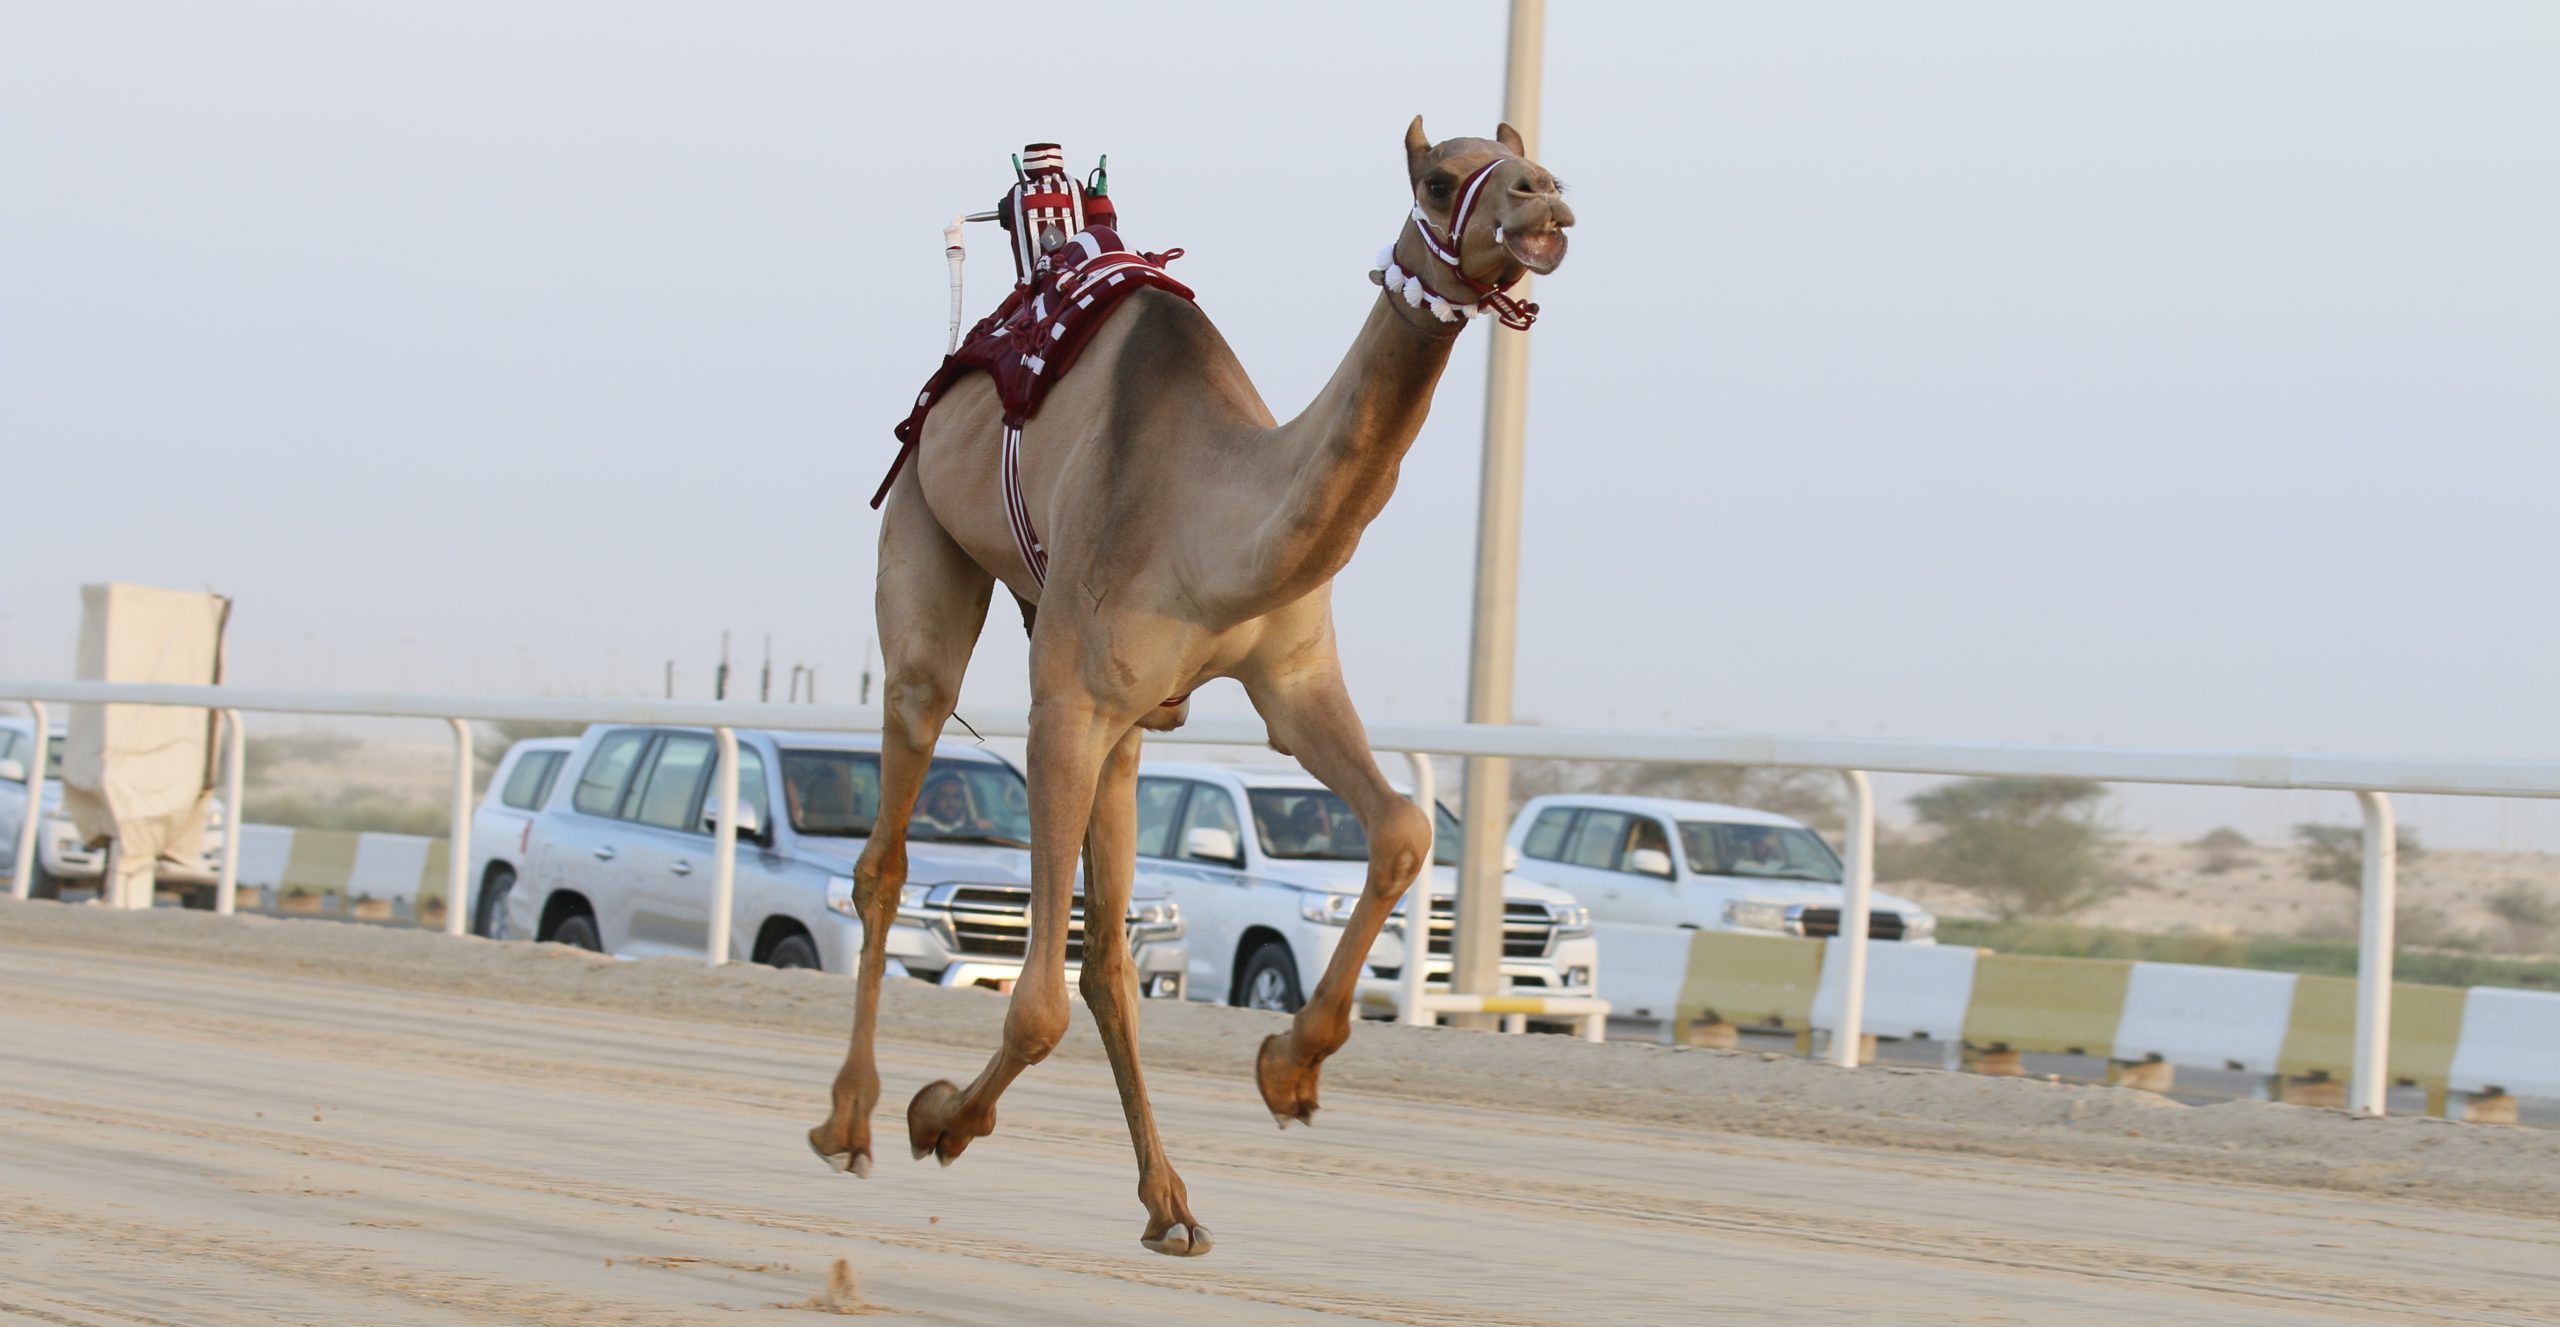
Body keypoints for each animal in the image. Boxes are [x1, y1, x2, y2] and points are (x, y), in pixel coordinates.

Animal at [808, 119, 1576, 1265]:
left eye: (1530, 161)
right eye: (1442, 178)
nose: (1544, 198)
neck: (1208, 520)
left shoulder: (1289, 676)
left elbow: (1400, 827)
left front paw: (1288, 1070)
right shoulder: (1065, 705)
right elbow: (1033, 1004)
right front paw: (938, 1115)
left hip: (1125, 723)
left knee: (1109, 959)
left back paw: (1168, 1201)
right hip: (923, 533)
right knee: (892, 832)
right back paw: (851, 1119)